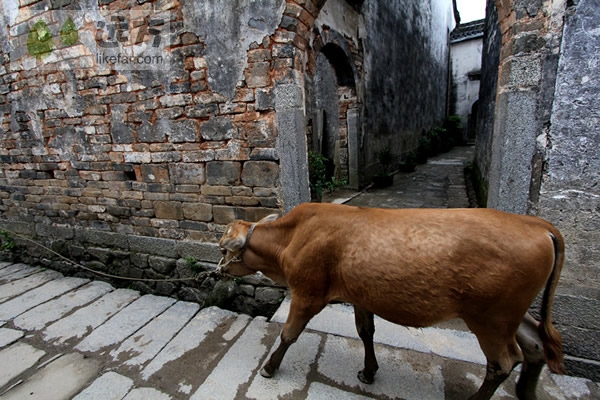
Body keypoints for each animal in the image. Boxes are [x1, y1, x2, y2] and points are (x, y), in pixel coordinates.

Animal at [218, 205, 564, 398]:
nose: (217, 268)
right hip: (509, 316)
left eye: (223, 249)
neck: (291, 238)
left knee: (503, 363)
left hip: (490, 319)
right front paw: (369, 372)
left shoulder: (307, 293)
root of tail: (538, 225)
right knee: (535, 344)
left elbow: (289, 334)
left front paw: (270, 367)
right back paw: (526, 392)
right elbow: (365, 332)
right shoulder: (359, 295)